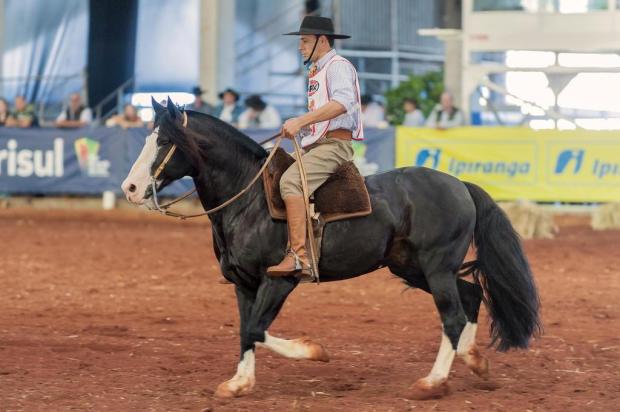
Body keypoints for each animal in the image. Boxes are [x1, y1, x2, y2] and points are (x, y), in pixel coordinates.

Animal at [120, 100, 536, 400]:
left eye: (163, 142)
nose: (130, 188)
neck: (250, 198)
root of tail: (460, 185)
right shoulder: (243, 283)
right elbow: (245, 330)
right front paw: (239, 383)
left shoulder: (279, 281)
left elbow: (256, 328)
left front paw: (314, 351)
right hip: (416, 269)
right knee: (472, 295)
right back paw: (474, 362)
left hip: (436, 269)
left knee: (452, 316)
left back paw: (431, 383)